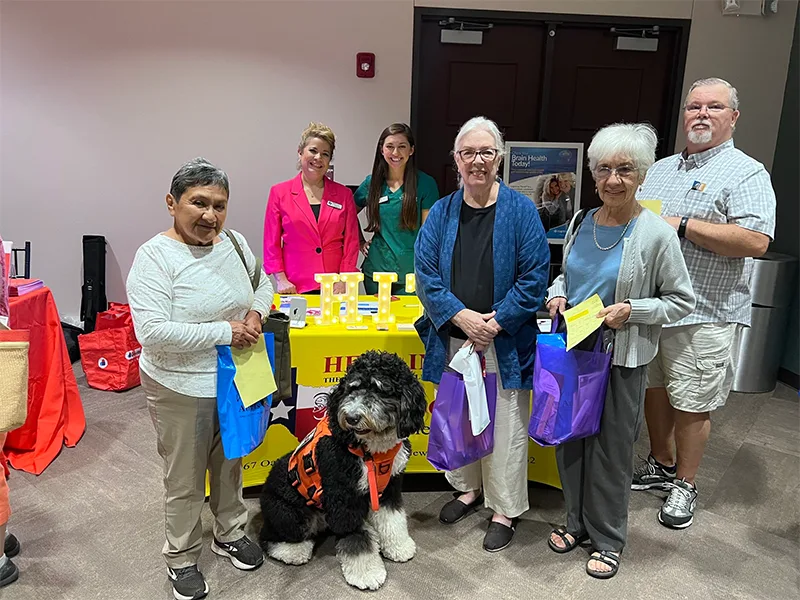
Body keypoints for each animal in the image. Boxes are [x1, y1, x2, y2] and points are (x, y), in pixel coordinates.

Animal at [260, 350, 428, 588]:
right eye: (351, 388)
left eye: (380, 388)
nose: (351, 417)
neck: (372, 451)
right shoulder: (344, 498)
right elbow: (356, 538)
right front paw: (366, 573)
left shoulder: (390, 488)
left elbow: (392, 519)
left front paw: (399, 546)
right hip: (290, 513)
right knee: (268, 537)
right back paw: (294, 551)